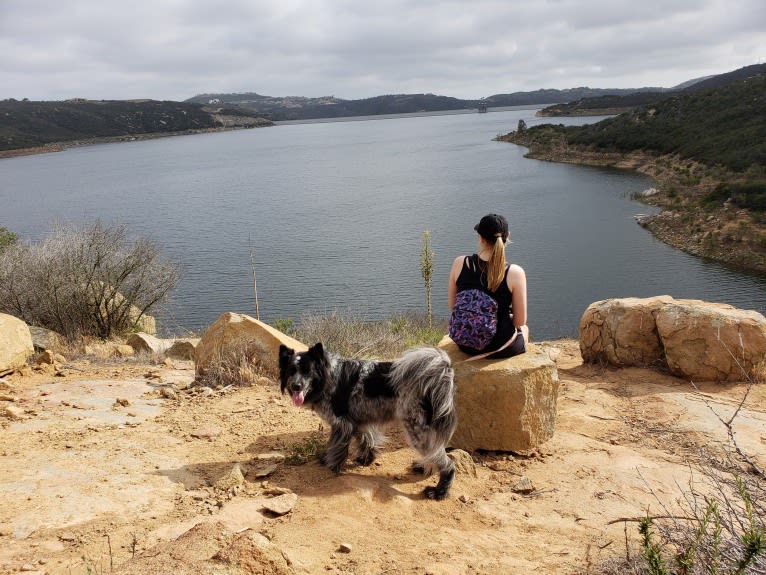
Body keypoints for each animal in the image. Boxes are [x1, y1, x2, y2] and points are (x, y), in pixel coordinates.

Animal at [280, 344, 460, 502]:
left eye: (307, 371)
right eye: (291, 371)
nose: (296, 386)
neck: (329, 376)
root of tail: (441, 374)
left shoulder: (340, 424)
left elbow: (336, 448)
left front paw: (330, 464)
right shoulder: (357, 422)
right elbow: (367, 439)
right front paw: (366, 458)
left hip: (418, 432)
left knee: (447, 464)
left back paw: (438, 492)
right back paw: (424, 467)